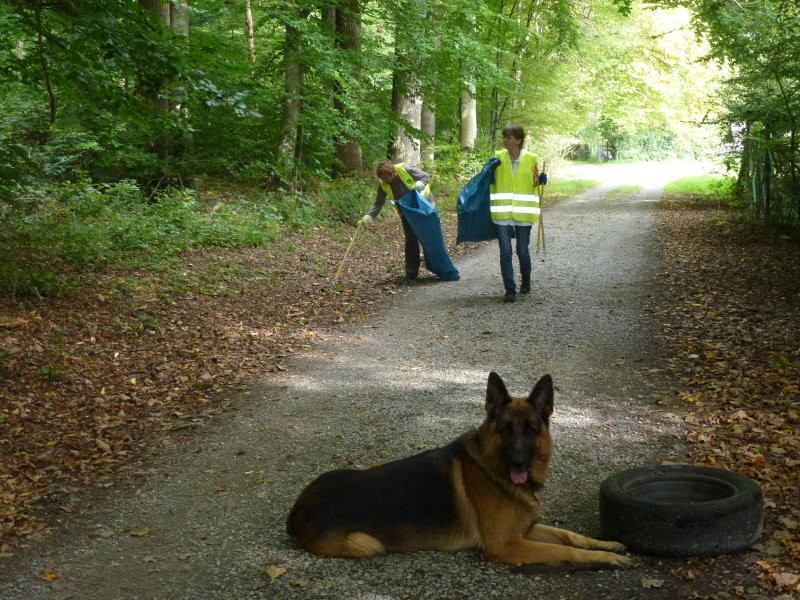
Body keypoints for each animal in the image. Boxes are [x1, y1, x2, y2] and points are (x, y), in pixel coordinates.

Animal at [288, 370, 632, 568]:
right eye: (506, 430)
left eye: (531, 429)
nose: (519, 462)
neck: (493, 469)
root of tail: (296, 513)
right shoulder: (507, 545)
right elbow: (569, 551)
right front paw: (605, 558)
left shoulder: (525, 531)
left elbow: (570, 536)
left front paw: (607, 545)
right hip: (369, 544)